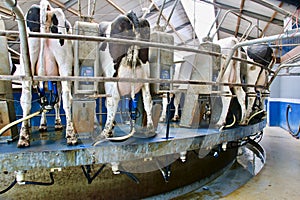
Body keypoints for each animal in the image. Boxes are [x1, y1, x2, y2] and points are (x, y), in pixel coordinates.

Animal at [94, 11, 155, 142]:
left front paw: (110, 130)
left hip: (111, 76)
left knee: (112, 100)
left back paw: (103, 134)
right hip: (145, 76)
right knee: (148, 98)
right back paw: (150, 129)